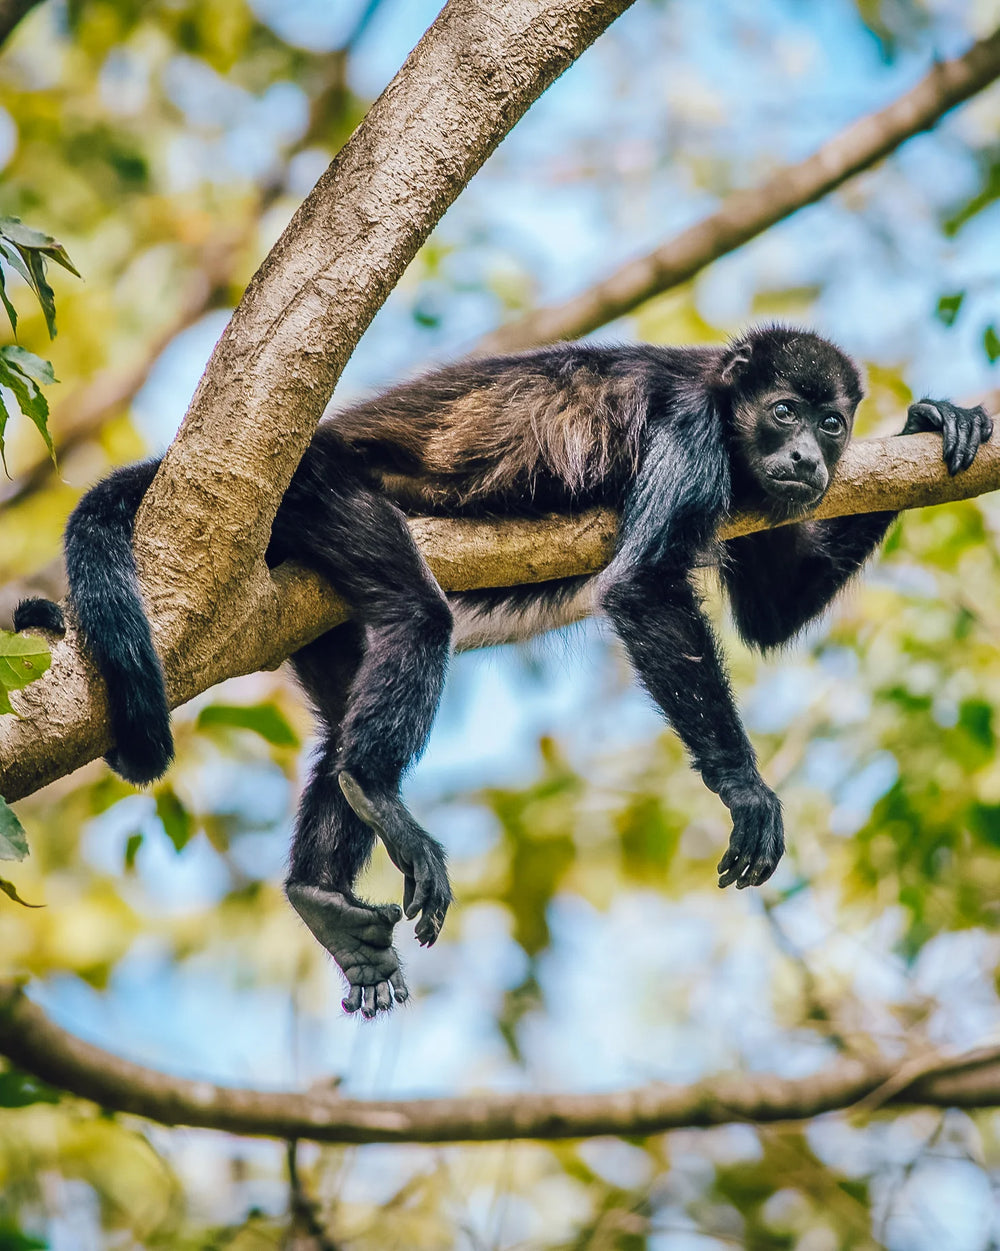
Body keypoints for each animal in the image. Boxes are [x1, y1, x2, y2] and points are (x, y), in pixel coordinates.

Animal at [14, 325, 992, 1018]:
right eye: (785, 411)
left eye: (833, 424)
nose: (807, 458)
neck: (726, 403)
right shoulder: (689, 427)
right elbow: (642, 588)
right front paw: (745, 789)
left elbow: (770, 616)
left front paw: (934, 420)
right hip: (318, 490)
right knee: (417, 617)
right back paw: (376, 790)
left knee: (344, 710)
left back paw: (321, 893)